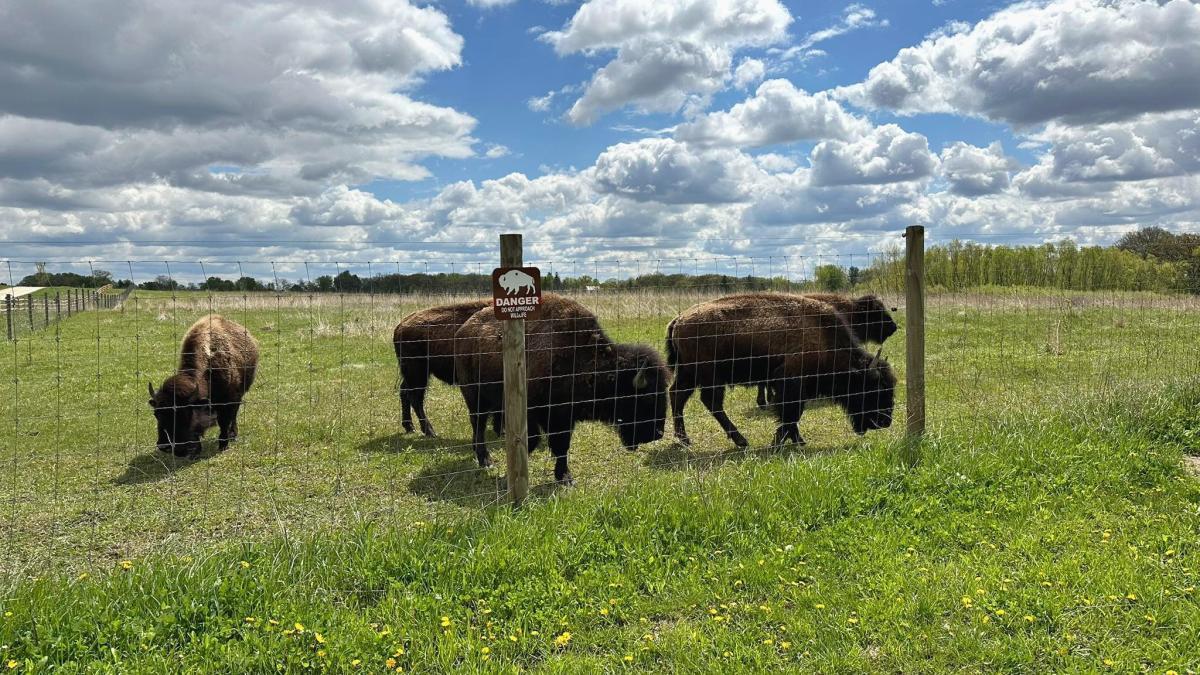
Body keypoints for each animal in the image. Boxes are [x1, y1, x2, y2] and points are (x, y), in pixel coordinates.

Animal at [148, 314, 258, 456]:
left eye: (183, 414)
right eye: (156, 414)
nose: (164, 447)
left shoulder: (228, 400)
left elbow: (224, 421)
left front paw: (223, 445)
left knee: (234, 415)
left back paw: (232, 435)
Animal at [454, 294, 670, 485]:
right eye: (648, 397)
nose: (657, 434)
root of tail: (464, 330)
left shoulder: (565, 417)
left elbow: (562, 446)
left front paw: (565, 477)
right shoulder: (535, 414)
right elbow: (535, 441)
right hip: (474, 396)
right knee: (478, 424)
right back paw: (485, 460)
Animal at [667, 293, 895, 448]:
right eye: (875, 388)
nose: (885, 421)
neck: (823, 337)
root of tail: (678, 320)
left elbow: (793, 414)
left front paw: (796, 440)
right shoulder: (791, 382)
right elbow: (792, 413)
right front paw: (780, 441)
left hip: (689, 373)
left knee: (678, 395)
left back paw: (685, 439)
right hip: (709, 376)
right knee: (710, 402)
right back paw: (741, 440)